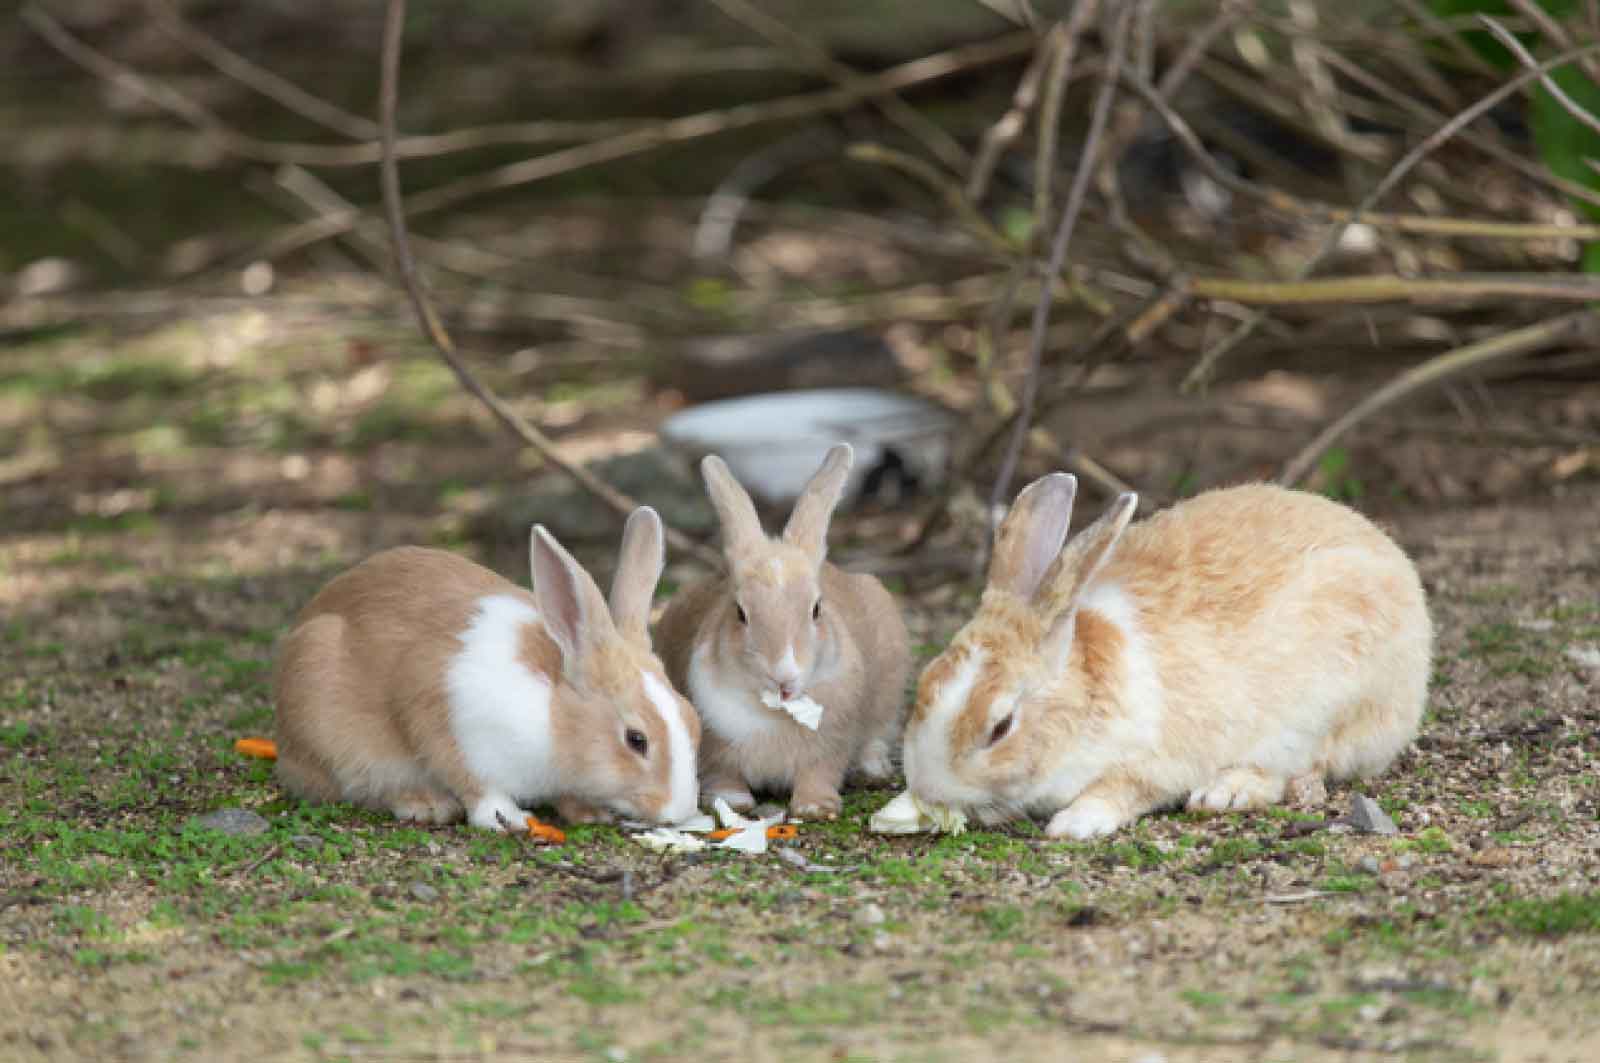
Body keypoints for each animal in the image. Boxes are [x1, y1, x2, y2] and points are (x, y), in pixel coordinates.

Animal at [273, 505, 700, 832]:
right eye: (636, 740)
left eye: (693, 720)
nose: (678, 811)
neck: (553, 715)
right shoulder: (442, 716)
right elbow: (473, 781)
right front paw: (507, 818)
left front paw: (589, 812)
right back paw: (426, 804)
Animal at [652, 445, 908, 816]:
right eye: (740, 613)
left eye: (816, 609)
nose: (783, 678)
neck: (772, 709)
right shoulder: (714, 750)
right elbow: (724, 776)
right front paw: (733, 802)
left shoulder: (830, 747)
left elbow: (820, 774)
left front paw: (814, 807)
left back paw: (873, 769)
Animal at [902, 473, 1440, 838]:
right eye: (925, 681)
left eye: (1000, 727)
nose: (927, 790)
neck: (1085, 697)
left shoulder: (1158, 761)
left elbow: (1124, 789)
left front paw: (1075, 822)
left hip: (1328, 709)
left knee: (1302, 771)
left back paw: (1226, 791)